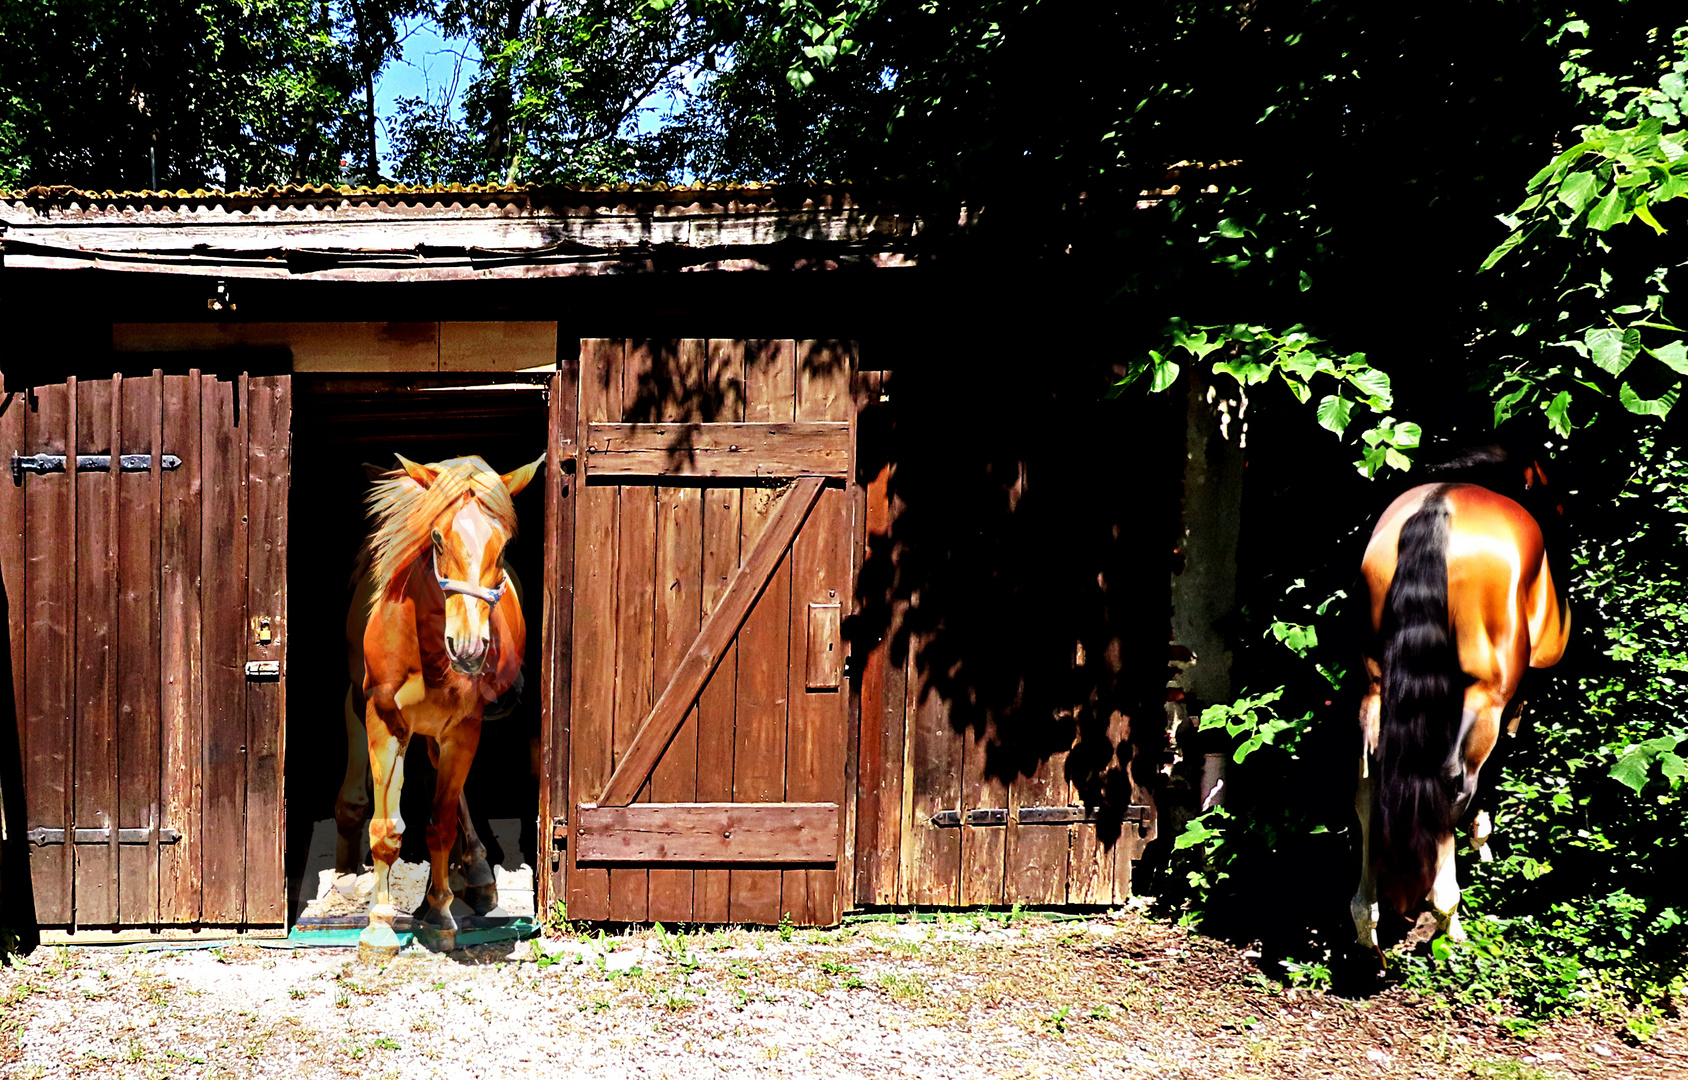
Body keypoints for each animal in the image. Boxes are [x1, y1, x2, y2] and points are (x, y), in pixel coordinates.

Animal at [356, 452, 540, 945]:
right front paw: (379, 926)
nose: (470, 647)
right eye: (437, 537)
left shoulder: (463, 730)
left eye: (505, 546)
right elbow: (386, 829)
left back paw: (472, 877)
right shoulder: (384, 721)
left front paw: (439, 912)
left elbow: (438, 825)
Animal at [1350, 469, 1573, 951]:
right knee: (1452, 780)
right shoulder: (1512, 693)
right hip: (1484, 694)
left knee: (1369, 784)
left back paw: (1368, 921)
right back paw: (1447, 915)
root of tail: (1440, 504)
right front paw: (1481, 837)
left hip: (1376, 686)